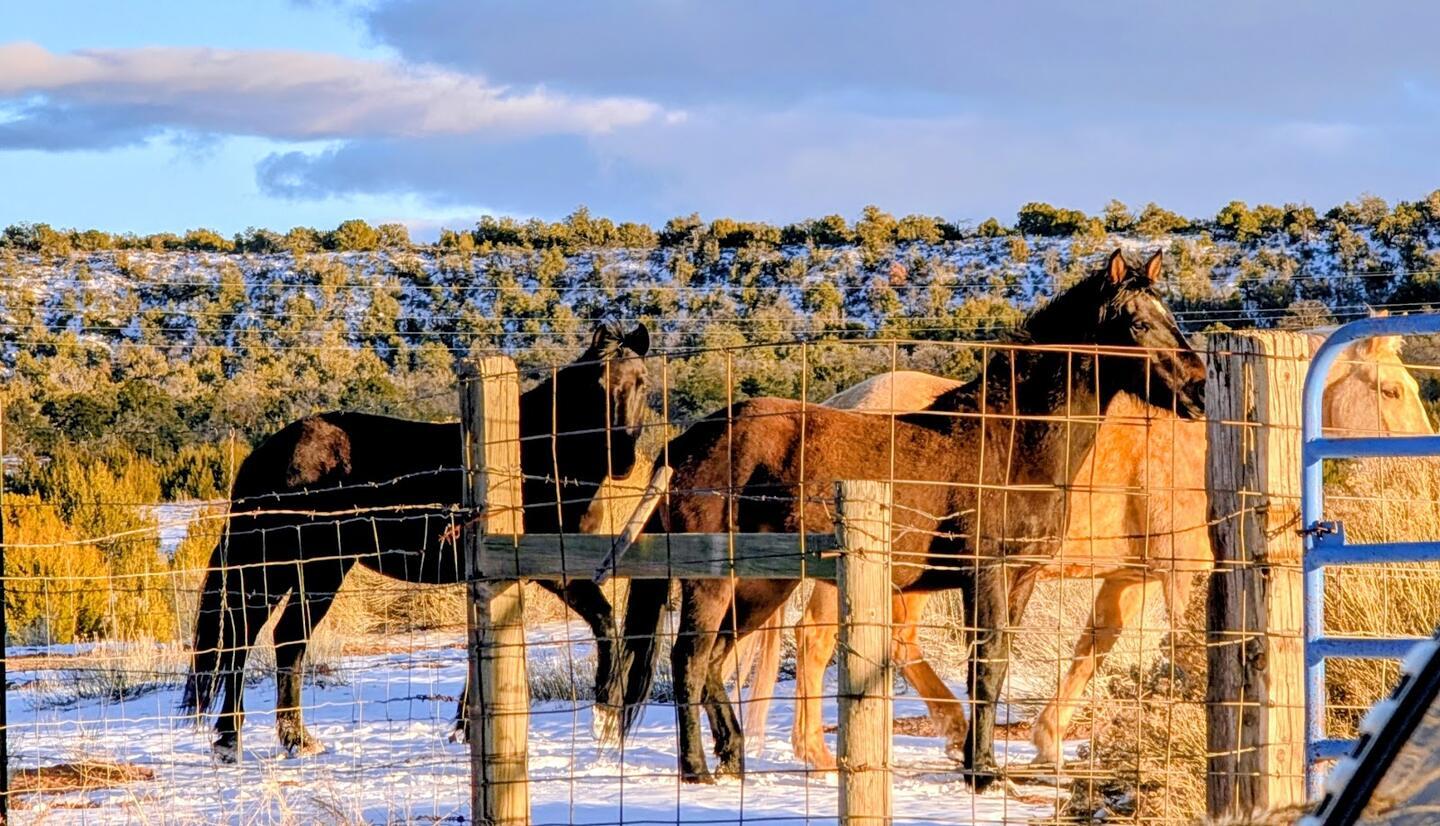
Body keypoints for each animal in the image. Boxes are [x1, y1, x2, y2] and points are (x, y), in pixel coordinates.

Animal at [181, 321, 651, 762]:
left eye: (644, 382)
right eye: (595, 385)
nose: (623, 459)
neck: (536, 458)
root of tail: (264, 455)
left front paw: (466, 725)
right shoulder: (548, 569)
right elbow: (605, 621)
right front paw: (605, 712)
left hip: (313, 571)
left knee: (281, 640)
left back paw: (291, 739)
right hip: (293, 567)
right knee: (248, 638)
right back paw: (234, 739)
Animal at [615, 250, 1207, 787]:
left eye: (1172, 317)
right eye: (1137, 323)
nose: (1198, 388)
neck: (1009, 442)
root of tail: (684, 445)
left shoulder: (1024, 577)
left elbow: (1009, 663)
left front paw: (987, 761)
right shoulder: (985, 575)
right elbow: (985, 665)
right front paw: (981, 772)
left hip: (767, 584)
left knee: (716, 659)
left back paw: (734, 760)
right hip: (712, 583)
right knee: (691, 659)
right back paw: (698, 771)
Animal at [728, 321, 1434, 770]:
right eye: (1392, 390)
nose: (1422, 471)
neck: (1222, 433)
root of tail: (844, 399)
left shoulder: (1129, 576)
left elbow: (1098, 642)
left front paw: (1048, 736)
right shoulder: (1183, 570)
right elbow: (1187, 653)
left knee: (891, 644)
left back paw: (950, 729)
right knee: (818, 641)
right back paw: (822, 752)